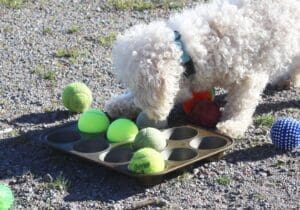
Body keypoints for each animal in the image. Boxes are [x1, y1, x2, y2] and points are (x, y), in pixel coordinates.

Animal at [103, 0, 300, 139]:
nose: (142, 106)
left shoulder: (250, 76)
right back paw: (288, 79)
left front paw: (232, 124)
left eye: (138, 86)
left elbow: (240, 103)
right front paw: (119, 104)